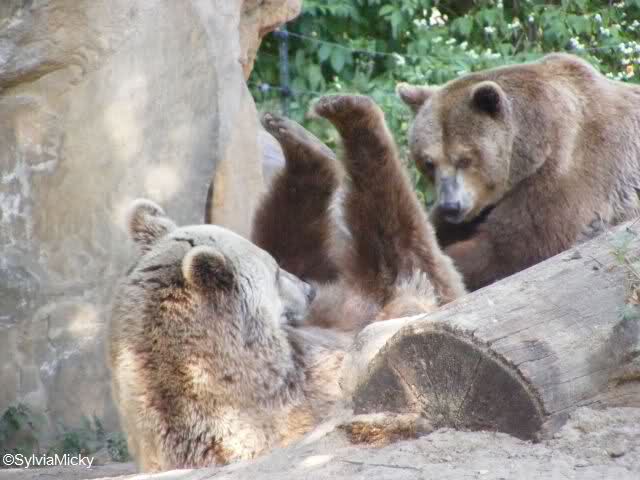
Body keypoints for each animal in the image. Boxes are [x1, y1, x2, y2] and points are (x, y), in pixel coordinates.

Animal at [108, 94, 465, 472]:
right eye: (274, 271)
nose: (308, 289)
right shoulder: (306, 392)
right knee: (399, 237)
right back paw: (349, 120)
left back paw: (303, 136)